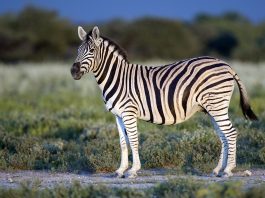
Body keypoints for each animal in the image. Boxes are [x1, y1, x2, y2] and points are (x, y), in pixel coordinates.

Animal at [71, 25, 256, 179]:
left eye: (92, 50)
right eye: (78, 50)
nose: (73, 71)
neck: (117, 78)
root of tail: (226, 64)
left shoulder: (129, 112)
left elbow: (133, 140)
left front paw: (133, 170)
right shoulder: (118, 115)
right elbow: (123, 143)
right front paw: (120, 170)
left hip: (217, 105)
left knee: (231, 133)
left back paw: (228, 170)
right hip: (212, 108)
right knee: (223, 136)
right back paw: (218, 169)